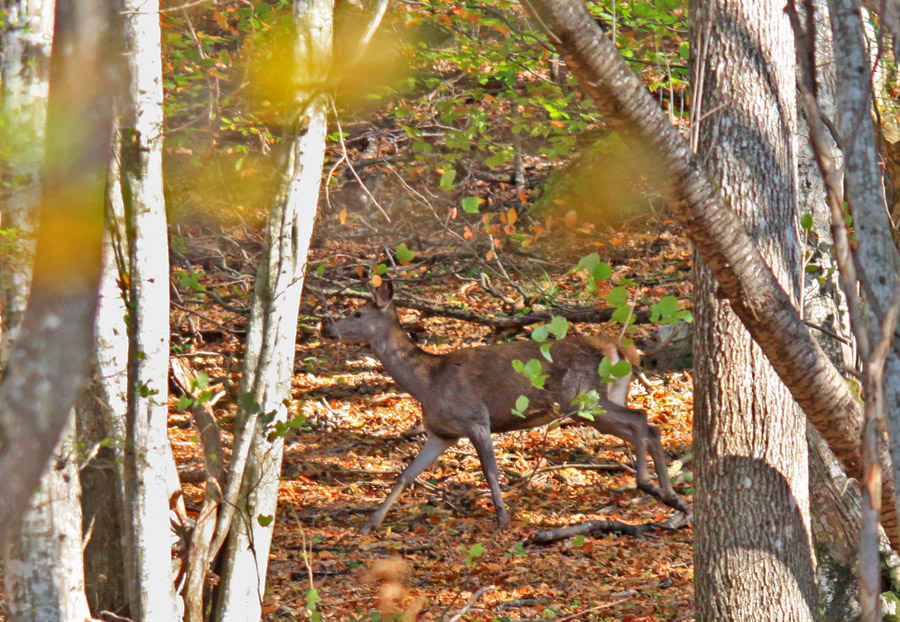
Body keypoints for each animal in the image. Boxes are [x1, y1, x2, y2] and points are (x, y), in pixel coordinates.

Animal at [324, 280, 688, 532]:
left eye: (357, 313)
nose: (325, 327)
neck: (427, 382)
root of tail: (623, 349)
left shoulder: (476, 419)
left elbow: (490, 471)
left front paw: (502, 519)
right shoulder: (442, 434)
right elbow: (405, 475)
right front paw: (370, 523)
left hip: (584, 397)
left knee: (641, 419)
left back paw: (654, 489)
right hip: (600, 401)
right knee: (647, 425)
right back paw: (671, 497)